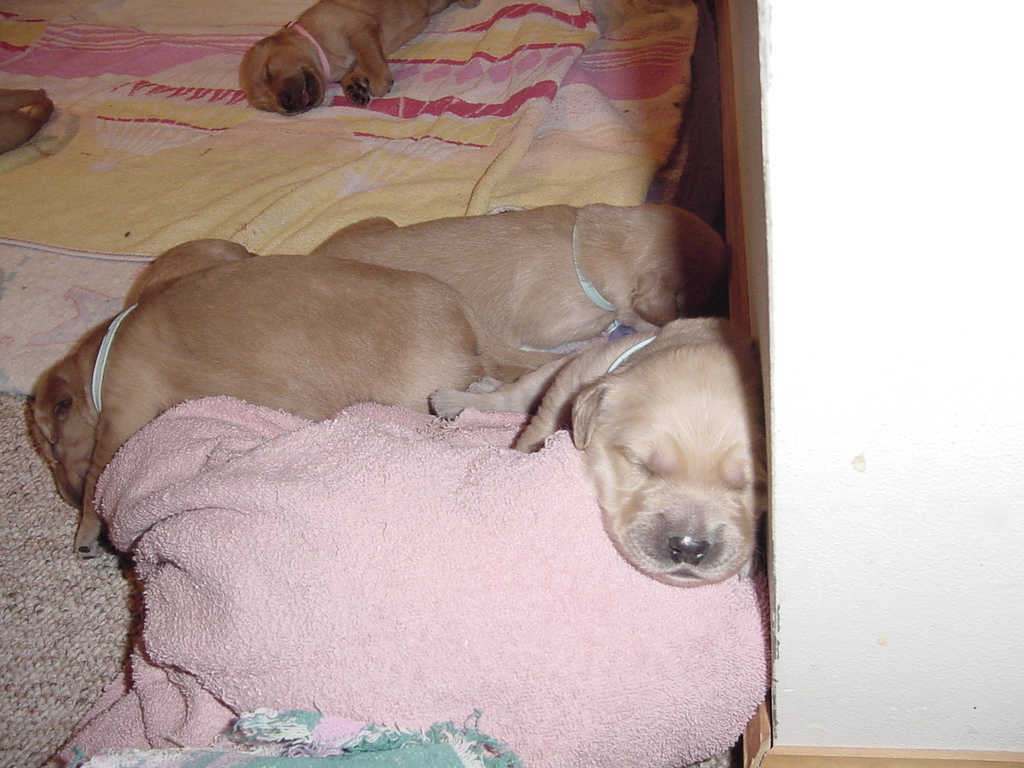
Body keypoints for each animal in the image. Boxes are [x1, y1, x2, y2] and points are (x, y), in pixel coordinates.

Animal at [32, 237, 557, 557]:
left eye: (52, 446)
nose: (64, 495)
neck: (105, 348)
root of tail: (467, 320)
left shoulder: (125, 411)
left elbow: (100, 474)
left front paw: (85, 527)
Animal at [240, 0, 479, 114]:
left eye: (268, 72)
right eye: (267, 106)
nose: (286, 105)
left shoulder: (358, 27)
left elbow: (370, 58)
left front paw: (378, 82)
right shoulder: (354, 56)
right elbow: (359, 67)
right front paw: (354, 88)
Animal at [428, 315, 765, 585]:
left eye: (755, 484)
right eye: (640, 464)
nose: (689, 547)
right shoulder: (570, 383)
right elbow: (533, 432)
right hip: (555, 369)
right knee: (512, 394)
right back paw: (458, 397)